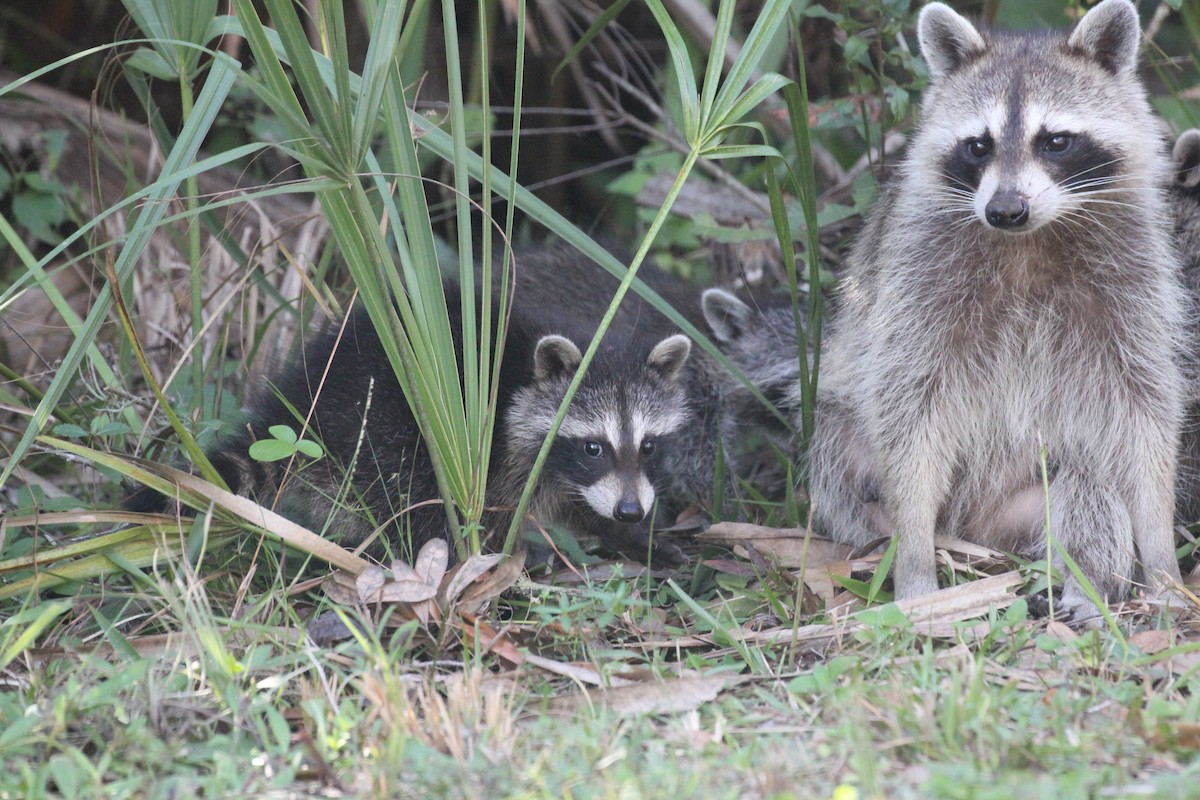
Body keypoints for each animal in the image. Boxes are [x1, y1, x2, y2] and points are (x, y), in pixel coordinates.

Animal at [128, 281, 694, 565]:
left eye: (647, 446)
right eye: (593, 447)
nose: (630, 510)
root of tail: (302, 406)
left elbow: (577, 504)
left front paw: (629, 535)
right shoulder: (501, 453)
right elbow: (497, 510)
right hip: (382, 426)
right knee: (414, 499)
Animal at [809, 0, 1186, 617]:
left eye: (1055, 141)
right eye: (978, 145)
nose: (1005, 209)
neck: (1029, 239)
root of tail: (977, 534)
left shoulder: (1136, 277)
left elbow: (1143, 407)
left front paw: (1162, 557)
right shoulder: (916, 279)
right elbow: (909, 405)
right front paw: (914, 559)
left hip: (1023, 504)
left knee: (1087, 485)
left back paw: (1087, 580)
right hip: (851, 441)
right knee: (838, 446)